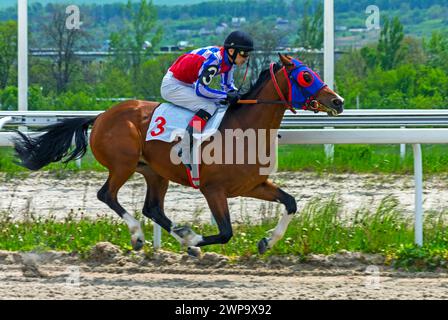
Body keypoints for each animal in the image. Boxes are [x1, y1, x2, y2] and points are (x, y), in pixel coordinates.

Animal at [13, 53, 344, 256]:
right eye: (306, 76)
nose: (338, 101)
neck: (244, 129)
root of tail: (101, 116)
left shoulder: (253, 185)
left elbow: (290, 202)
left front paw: (266, 241)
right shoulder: (213, 189)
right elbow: (225, 232)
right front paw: (195, 238)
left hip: (155, 172)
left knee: (153, 209)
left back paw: (180, 238)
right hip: (123, 164)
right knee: (107, 195)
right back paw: (141, 236)